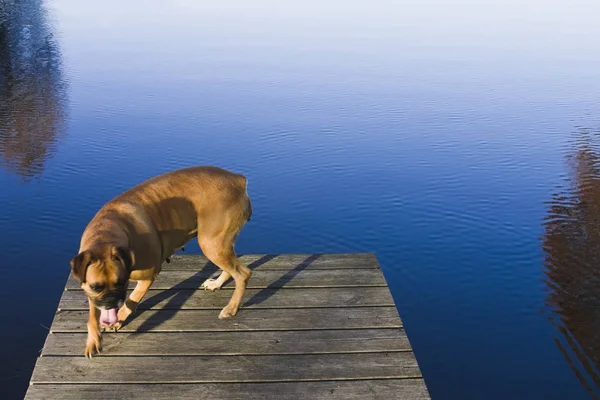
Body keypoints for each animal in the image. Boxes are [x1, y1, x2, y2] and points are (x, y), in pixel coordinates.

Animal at [69, 164, 253, 358]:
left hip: (211, 243)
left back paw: (231, 308)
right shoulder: (89, 288)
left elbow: (131, 300)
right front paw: (93, 340)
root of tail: (237, 179)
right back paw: (217, 284)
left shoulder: (148, 276)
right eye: (96, 287)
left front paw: (120, 317)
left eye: (121, 283)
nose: (111, 302)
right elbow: (92, 315)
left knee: (242, 274)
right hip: (220, 244)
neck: (107, 232)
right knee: (231, 269)